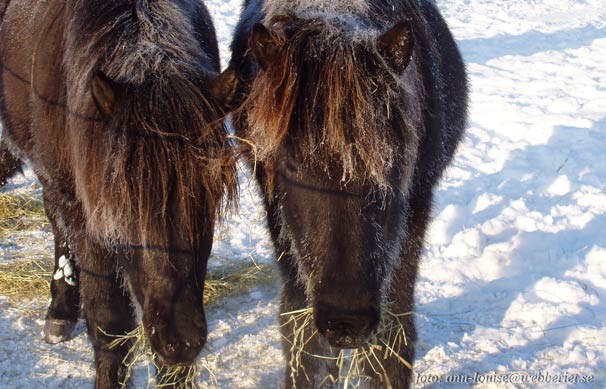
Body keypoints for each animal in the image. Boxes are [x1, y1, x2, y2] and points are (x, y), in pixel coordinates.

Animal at [0, 0, 236, 384]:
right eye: (123, 205)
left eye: (210, 196)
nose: (181, 340)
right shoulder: (86, 214)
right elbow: (110, 324)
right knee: (58, 225)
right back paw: (60, 311)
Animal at [228, 0, 470, 386]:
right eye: (290, 166)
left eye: (394, 161)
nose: (347, 322)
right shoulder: (279, 223)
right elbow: (304, 343)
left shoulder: (415, 210)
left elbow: (391, 340)